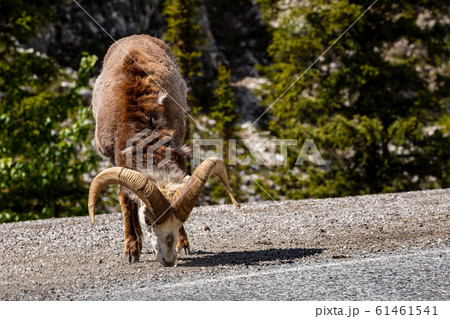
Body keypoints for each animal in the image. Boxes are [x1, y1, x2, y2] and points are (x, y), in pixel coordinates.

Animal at [87, 35, 239, 268]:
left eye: (182, 219)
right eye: (148, 219)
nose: (168, 260)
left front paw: (183, 245)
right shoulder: (116, 159)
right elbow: (126, 201)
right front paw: (131, 251)